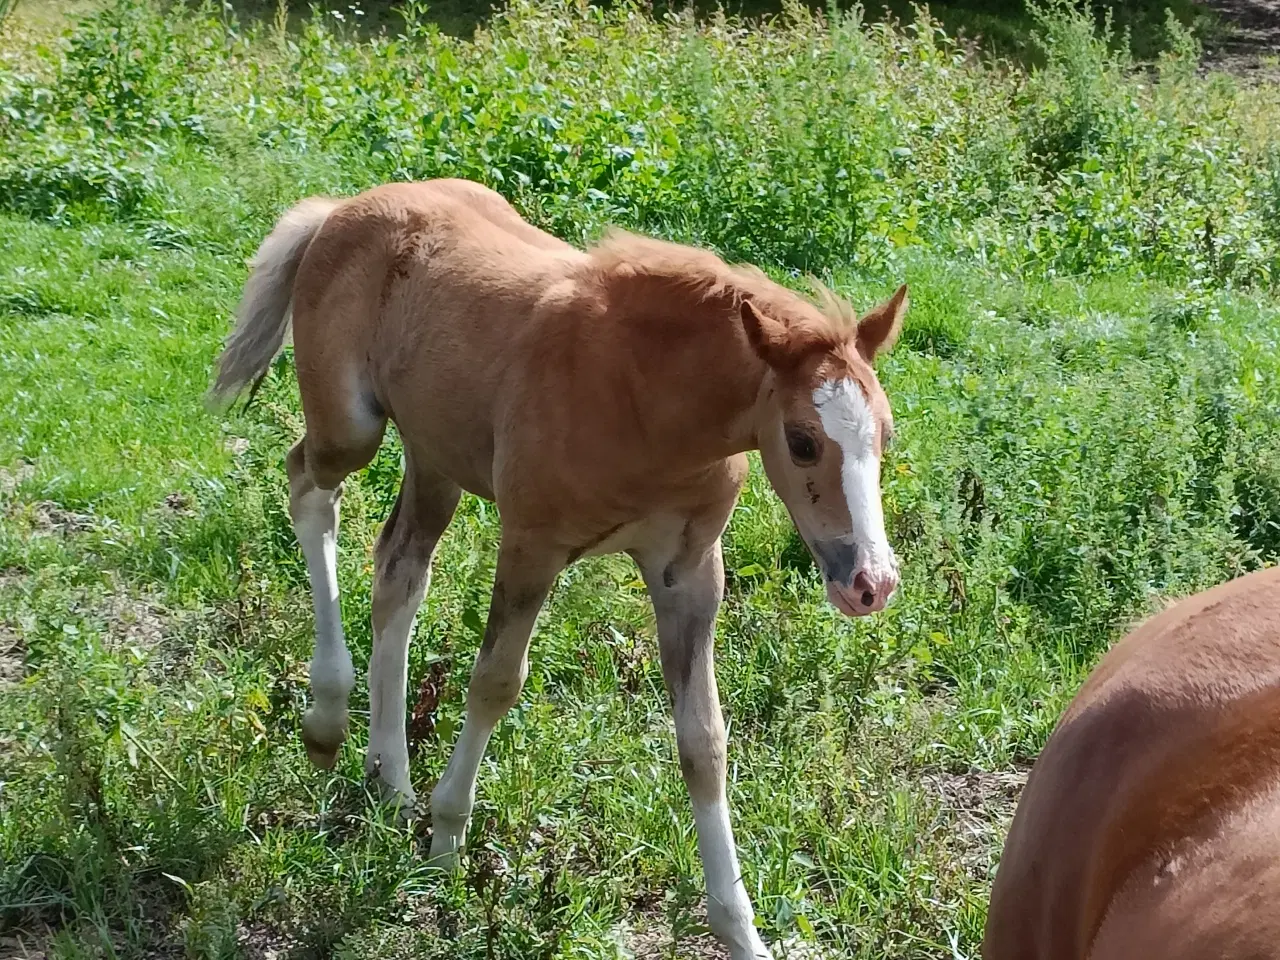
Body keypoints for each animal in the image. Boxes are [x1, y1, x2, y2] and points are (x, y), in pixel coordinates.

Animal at [212, 176, 911, 957]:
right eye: (800, 441)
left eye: (883, 435)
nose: (871, 583)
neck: (646, 401)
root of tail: (341, 208)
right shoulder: (532, 544)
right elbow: (494, 683)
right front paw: (446, 846)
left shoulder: (691, 574)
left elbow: (705, 741)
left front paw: (742, 932)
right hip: (352, 429)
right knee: (307, 484)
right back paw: (329, 713)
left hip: (435, 456)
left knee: (399, 572)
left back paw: (388, 778)